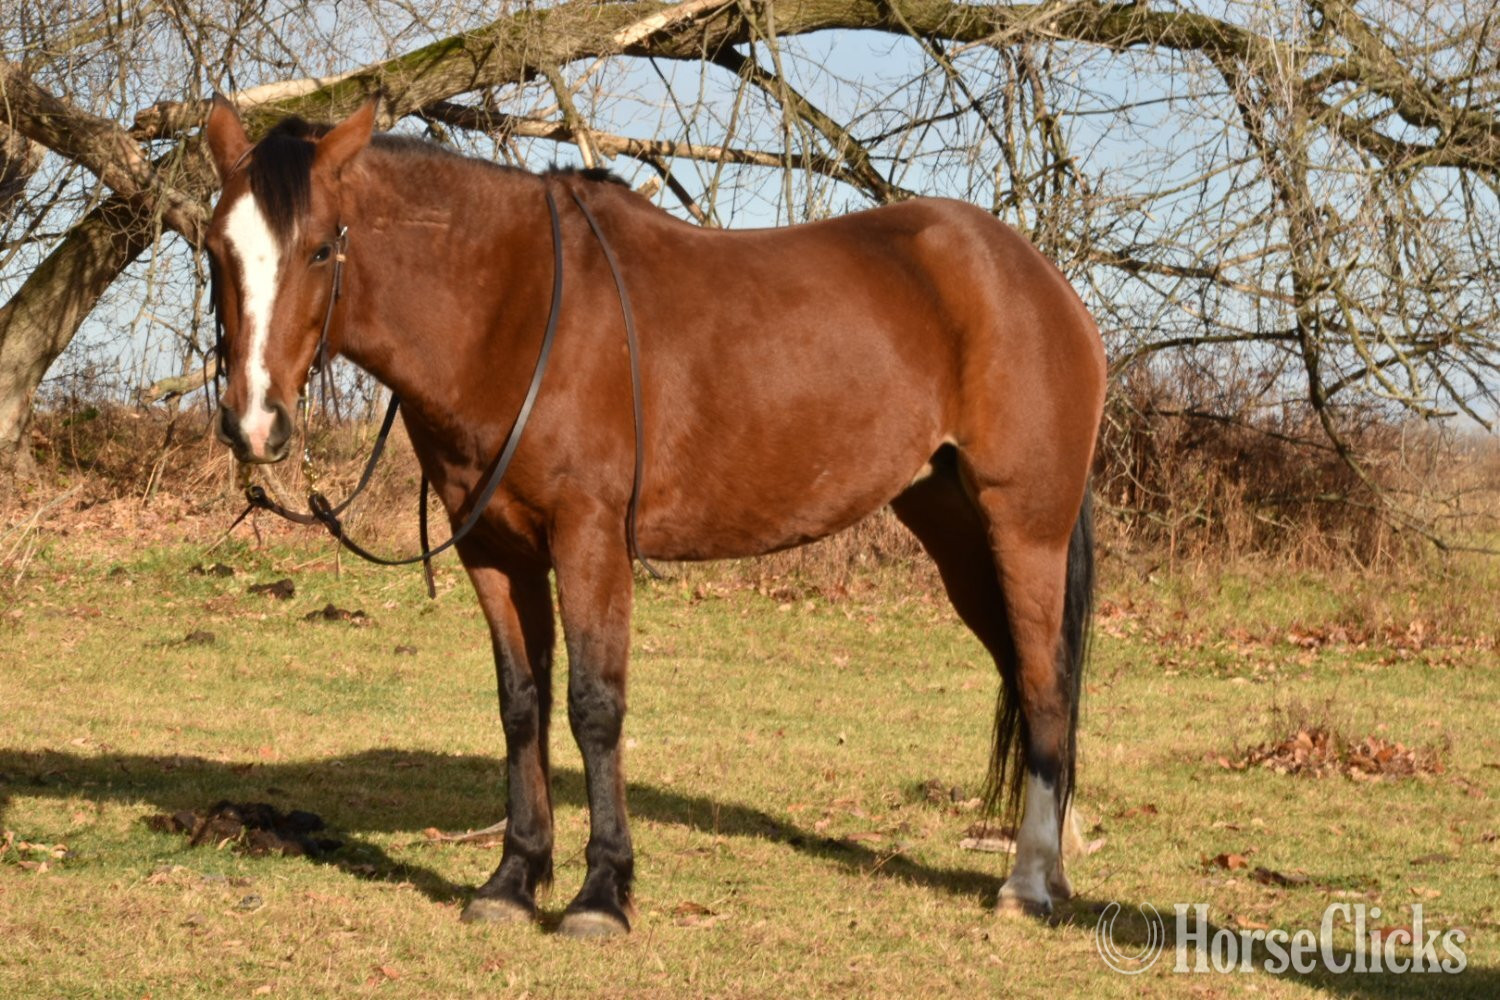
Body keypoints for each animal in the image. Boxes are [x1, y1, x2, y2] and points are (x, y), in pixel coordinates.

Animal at [201, 97, 1106, 938]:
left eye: (322, 248)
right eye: (215, 249)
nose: (254, 424)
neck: (511, 309)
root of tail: (1035, 275)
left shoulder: (591, 538)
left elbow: (594, 706)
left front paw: (602, 895)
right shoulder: (496, 552)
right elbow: (521, 704)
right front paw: (513, 881)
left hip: (1023, 531)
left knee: (1044, 688)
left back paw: (1028, 885)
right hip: (958, 537)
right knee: (1035, 685)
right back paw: (1053, 871)